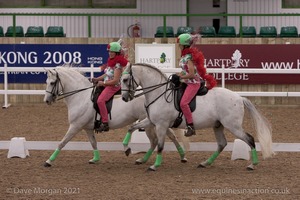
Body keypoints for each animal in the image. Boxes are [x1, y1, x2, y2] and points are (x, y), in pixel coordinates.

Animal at [43, 64, 188, 167]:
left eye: (52, 83)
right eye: (46, 82)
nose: (46, 101)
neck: (81, 96)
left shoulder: (75, 126)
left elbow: (62, 142)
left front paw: (49, 161)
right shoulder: (87, 128)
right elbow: (93, 143)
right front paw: (95, 159)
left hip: (151, 123)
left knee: (156, 140)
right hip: (155, 122)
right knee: (169, 136)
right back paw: (182, 156)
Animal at [121, 63, 274, 170]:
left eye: (126, 79)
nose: (123, 98)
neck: (159, 93)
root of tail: (239, 97)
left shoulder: (161, 125)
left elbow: (159, 145)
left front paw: (154, 166)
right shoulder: (151, 121)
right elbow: (131, 127)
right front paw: (127, 149)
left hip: (233, 126)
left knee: (249, 139)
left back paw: (252, 165)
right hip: (218, 126)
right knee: (222, 144)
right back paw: (205, 163)